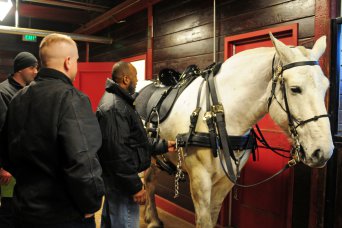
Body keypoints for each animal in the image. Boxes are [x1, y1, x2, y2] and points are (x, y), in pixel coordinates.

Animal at [142, 34, 334, 228]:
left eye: (326, 87)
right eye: (295, 89)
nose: (323, 151)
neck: (218, 114)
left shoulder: (225, 182)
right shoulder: (200, 182)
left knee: (149, 183)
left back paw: (152, 218)